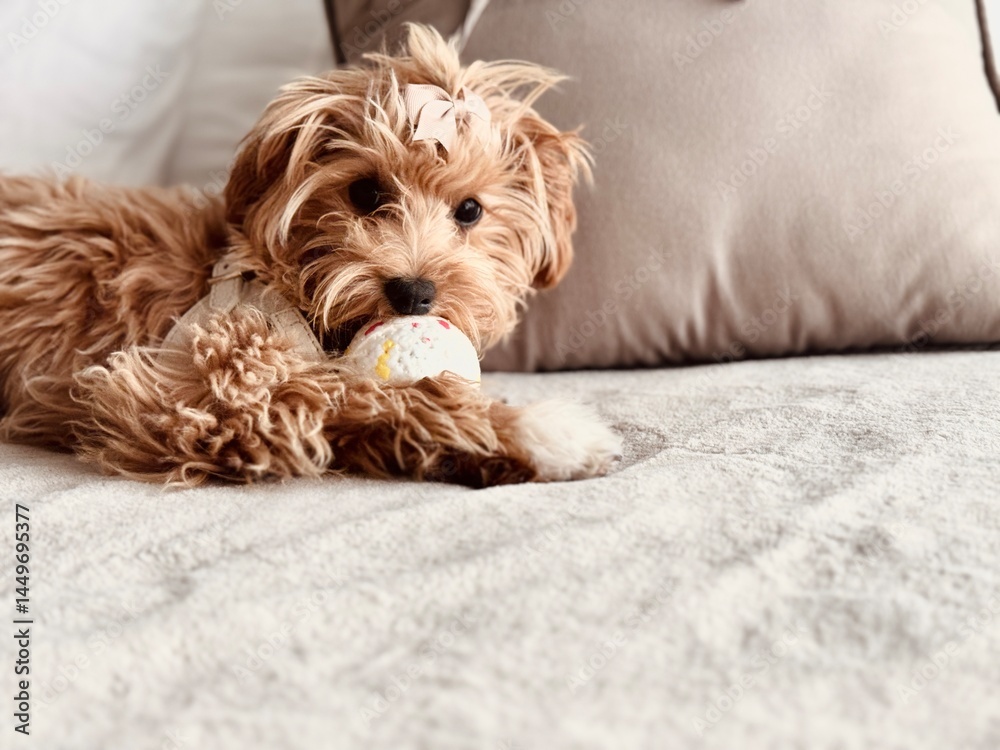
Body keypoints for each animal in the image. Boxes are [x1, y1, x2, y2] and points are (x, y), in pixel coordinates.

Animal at [0, 25, 620, 488]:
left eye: (470, 211)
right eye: (365, 192)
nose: (414, 292)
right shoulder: (193, 394)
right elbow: (348, 390)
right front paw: (529, 429)